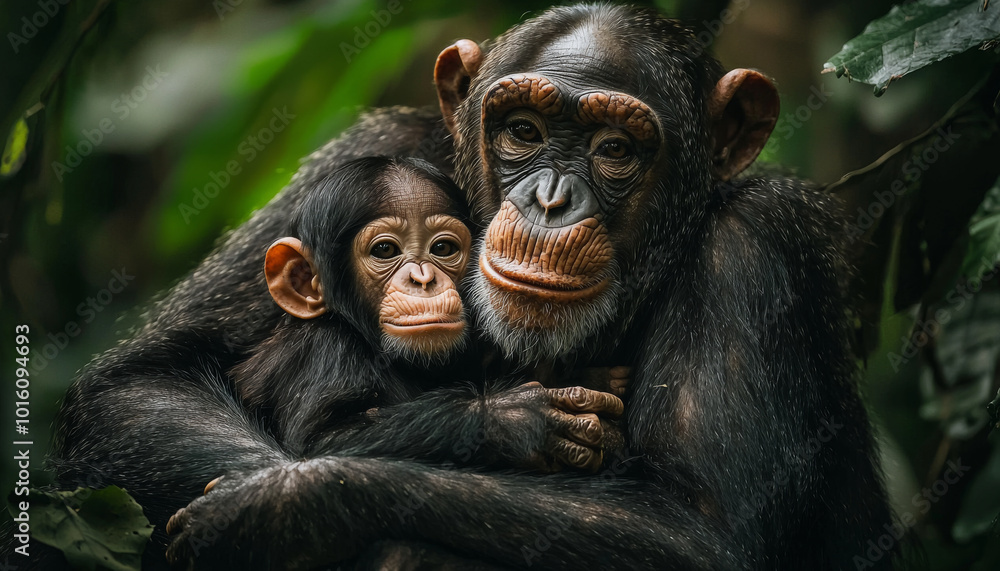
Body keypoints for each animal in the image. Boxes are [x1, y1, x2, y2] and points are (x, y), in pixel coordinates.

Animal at [3, 4, 896, 571]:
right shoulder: (368, 148)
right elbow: (137, 385)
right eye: (523, 131)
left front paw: (277, 508)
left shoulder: (755, 247)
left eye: (615, 147)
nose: (549, 200)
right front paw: (509, 422)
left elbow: (691, 530)